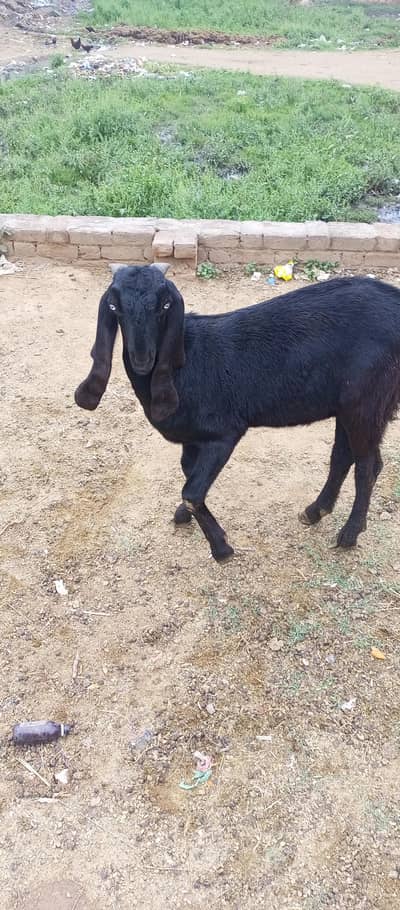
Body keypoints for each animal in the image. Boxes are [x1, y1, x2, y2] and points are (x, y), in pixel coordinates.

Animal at [75, 264, 400, 562]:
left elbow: (192, 492)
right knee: (343, 456)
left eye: (165, 305)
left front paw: (221, 548)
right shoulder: (192, 439)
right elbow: (189, 473)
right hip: (348, 405)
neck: (186, 363)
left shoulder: (223, 433)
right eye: (114, 306)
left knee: (368, 465)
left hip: (367, 401)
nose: (142, 359)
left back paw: (349, 534)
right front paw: (183, 516)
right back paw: (314, 511)